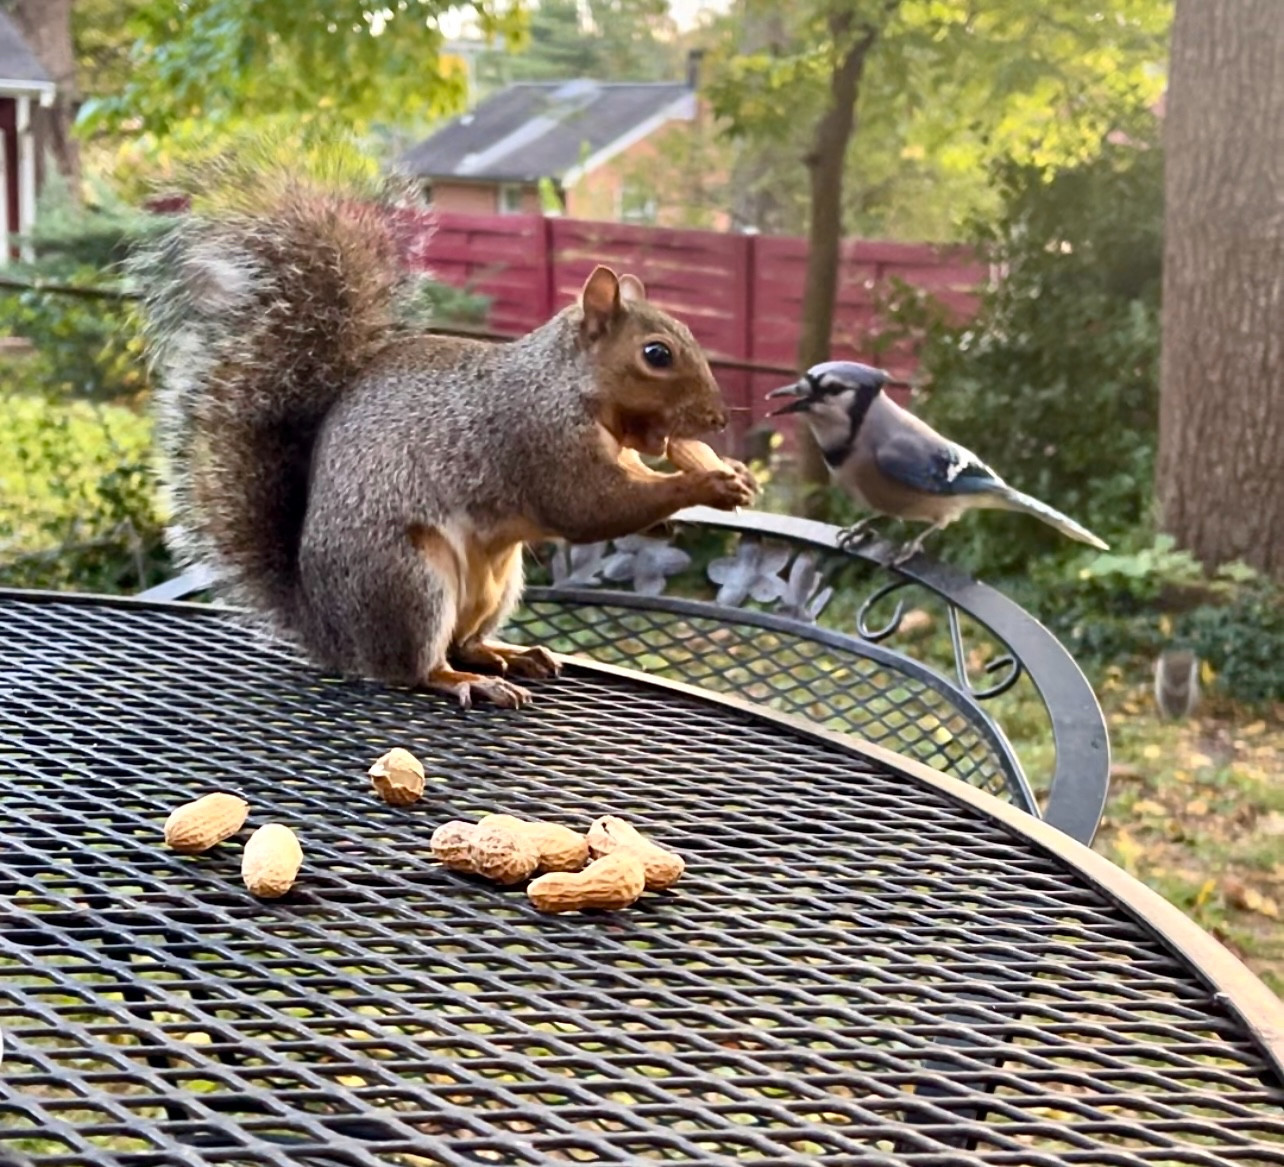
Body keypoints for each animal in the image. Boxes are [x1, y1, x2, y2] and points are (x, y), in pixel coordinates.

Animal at [132, 158, 749, 703]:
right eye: (656, 354)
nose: (718, 419)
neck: (568, 384)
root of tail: (334, 633)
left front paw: (724, 480)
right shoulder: (537, 436)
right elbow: (591, 507)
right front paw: (707, 484)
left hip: (500, 581)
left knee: (464, 641)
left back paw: (508, 654)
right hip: (409, 579)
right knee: (418, 666)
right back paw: (467, 681)